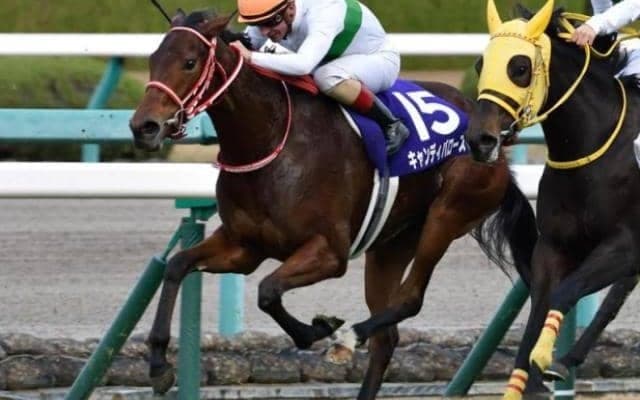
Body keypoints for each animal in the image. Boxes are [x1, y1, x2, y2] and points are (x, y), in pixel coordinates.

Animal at [129, 8, 539, 399]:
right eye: (153, 58)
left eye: (189, 62)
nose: (143, 126)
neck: (272, 141)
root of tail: (496, 140)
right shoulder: (242, 247)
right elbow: (176, 266)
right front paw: (159, 364)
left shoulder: (329, 252)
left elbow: (268, 292)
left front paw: (319, 329)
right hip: (392, 243)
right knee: (386, 337)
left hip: (446, 216)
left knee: (410, 299)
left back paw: (348, 336)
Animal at [465, 0, 640, 398]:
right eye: (481, 64)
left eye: (519, 68)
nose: (480, 140)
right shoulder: (554, 247)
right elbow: (537, 313)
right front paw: (526, 382)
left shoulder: (625, 245)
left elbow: (566, 292)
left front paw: (545, 359)